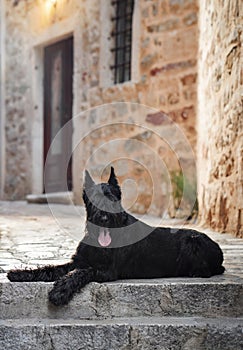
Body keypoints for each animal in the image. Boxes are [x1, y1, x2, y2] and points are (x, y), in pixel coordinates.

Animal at [7, 165, 224, 304]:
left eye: (112, 198)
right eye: (94, 199)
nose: (104, 217)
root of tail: (219, 249)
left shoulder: (105, 271)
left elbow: (81, 272)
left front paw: (60, 291)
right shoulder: (77, 261)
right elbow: (51, 268)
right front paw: (19, 273)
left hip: (193, 241)